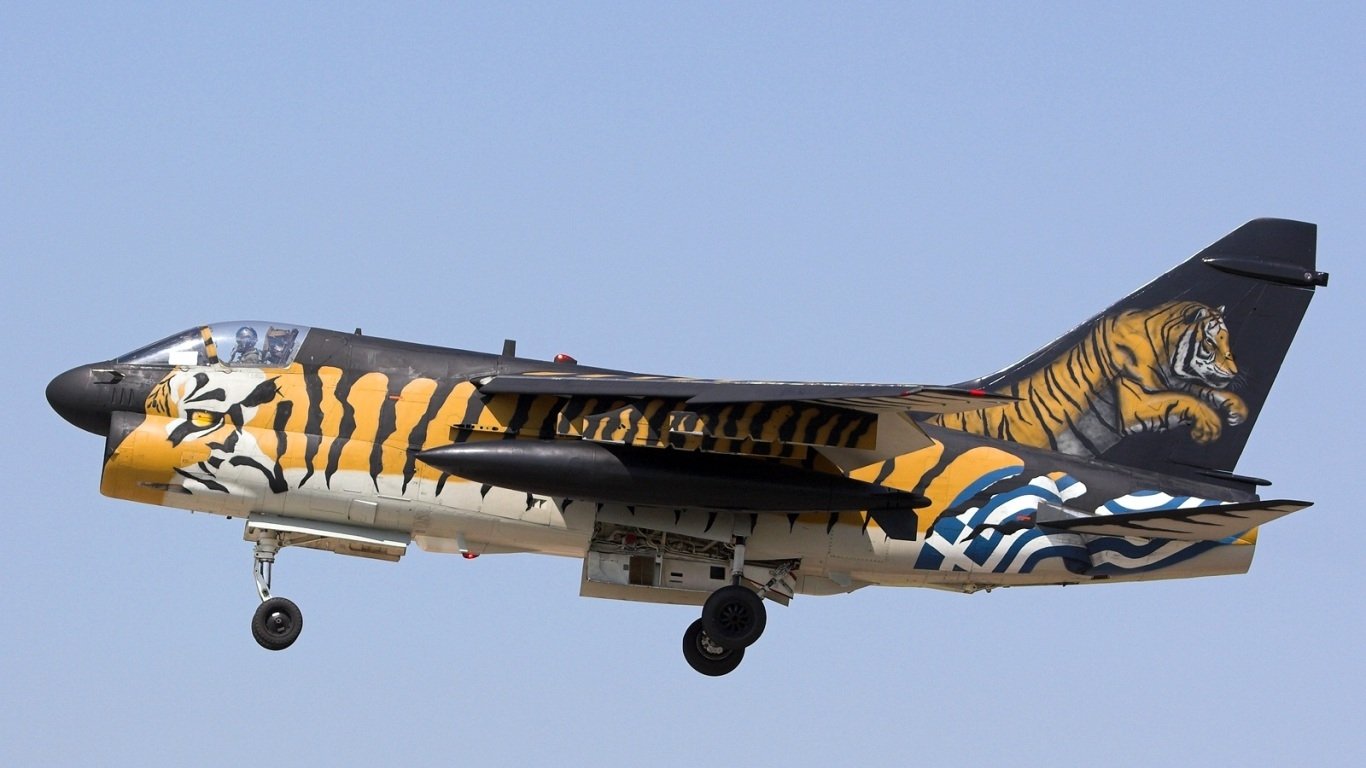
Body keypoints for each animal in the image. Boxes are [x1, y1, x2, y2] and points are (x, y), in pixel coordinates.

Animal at [932, 301, 1248, 457]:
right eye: (1211, 343)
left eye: (1228, 341)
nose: (1234, 373)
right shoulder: (1135, 404)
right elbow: (1185, 399)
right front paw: (1211, 422)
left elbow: (1197, 391)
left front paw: (1234, 408)